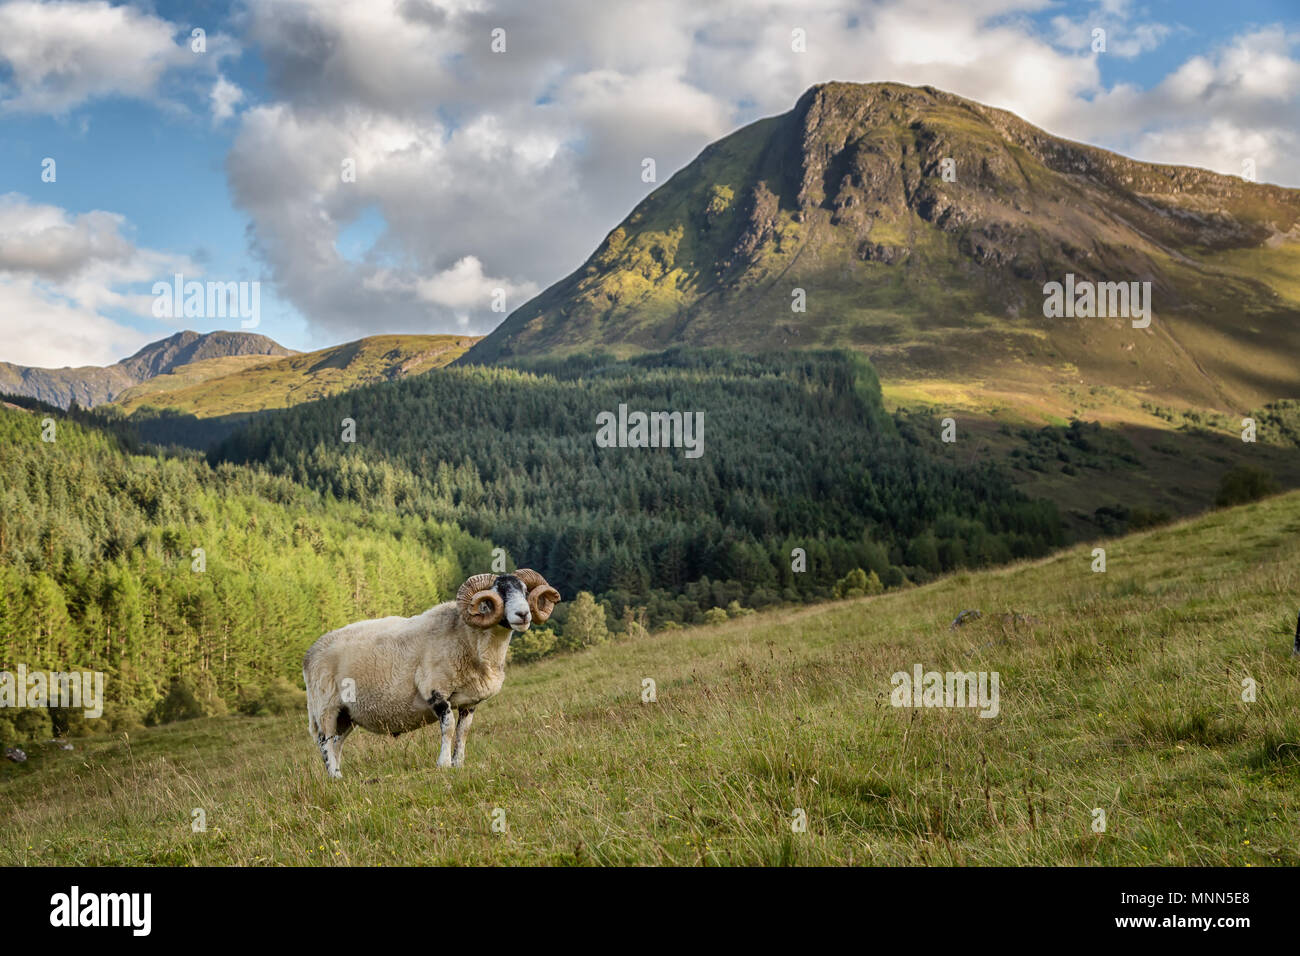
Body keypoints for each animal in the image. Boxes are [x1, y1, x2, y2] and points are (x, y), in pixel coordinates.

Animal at [302, 569, 561, 778]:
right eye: (498, 594)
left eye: (524, 591)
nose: (523, 615)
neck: (467, 637)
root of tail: (310, 653)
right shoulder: (436, 691)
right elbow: (448, 727)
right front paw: (443, 764)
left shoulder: (470, 701)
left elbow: (463, 732)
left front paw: (459, 764)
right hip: (325, 707)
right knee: (325, 743)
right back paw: (335, 778)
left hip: (347, 715)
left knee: (336, 743)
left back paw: (339, 776)